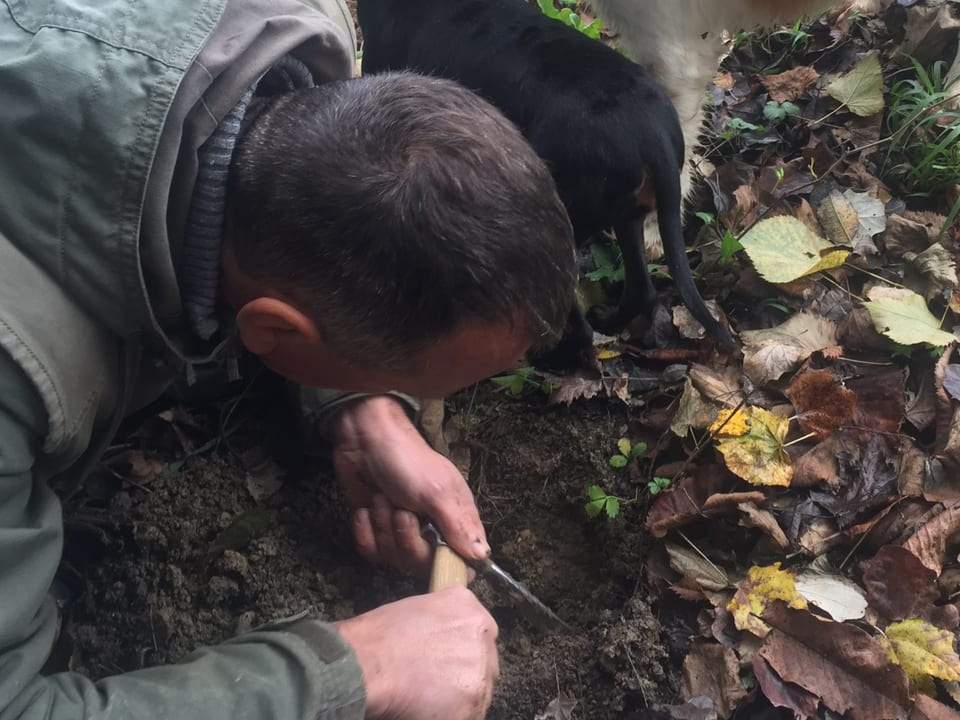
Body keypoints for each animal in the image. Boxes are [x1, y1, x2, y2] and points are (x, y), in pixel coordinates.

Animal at [360, 0, 736, 366]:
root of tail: (654, 139)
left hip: (564, 218)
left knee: (574, 317)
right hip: (624, 213)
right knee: (639, 288)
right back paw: (605, 321)